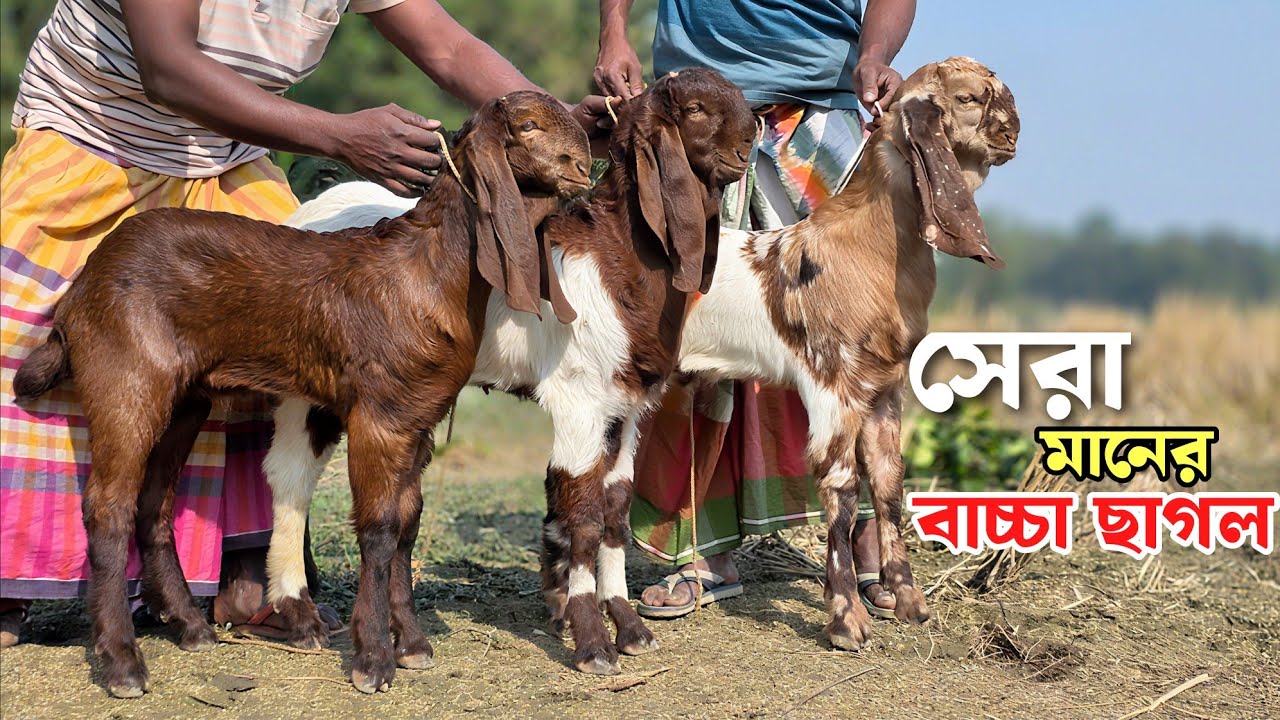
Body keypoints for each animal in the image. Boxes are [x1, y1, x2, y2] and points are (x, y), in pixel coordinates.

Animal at [260, 68, 757, 676]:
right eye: (694, 110)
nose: (748, 146)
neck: (614, 261)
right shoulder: (578, 399)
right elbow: (582, 514)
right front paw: (592, 642)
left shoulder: (624, 406)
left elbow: (615, 509)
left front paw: (629, 627)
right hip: (312, 387)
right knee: (290, 476)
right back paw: (300, 613)